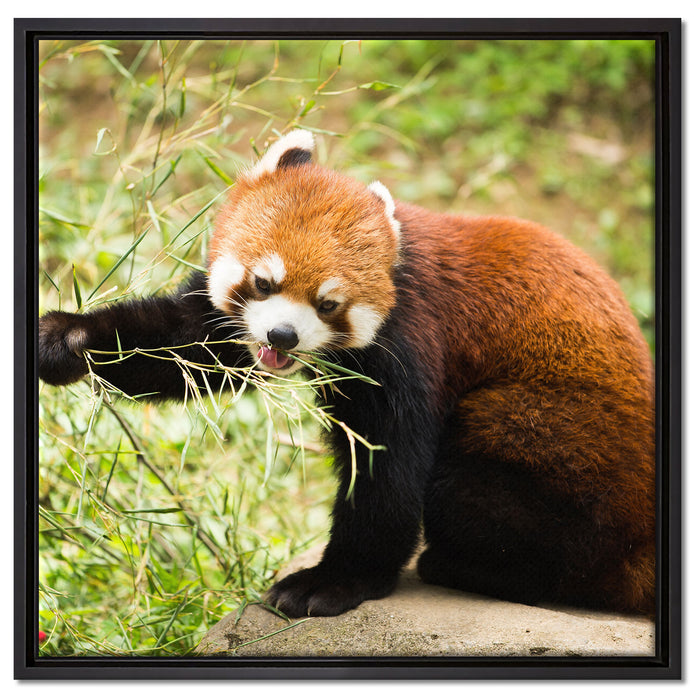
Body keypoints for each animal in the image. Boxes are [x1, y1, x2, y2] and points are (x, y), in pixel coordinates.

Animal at [39, 129, 655, 617]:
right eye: (263, 282)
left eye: (328, 303)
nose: (282, 336)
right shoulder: (227, 324)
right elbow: (185, 344)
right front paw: (68, 339)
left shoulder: (410, 344)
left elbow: (387, 470)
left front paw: (332, 583)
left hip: (547, 439)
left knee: (471, 490)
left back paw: (464, 567)